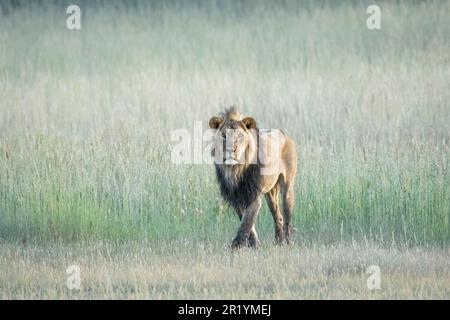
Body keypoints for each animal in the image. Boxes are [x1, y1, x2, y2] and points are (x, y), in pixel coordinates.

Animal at [209, 106, 298, 249]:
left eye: (239, 136)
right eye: (223, 135)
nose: (231, 150)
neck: (235, 170)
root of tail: (283, 133)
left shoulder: (253, 195)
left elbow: (246, 222)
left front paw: (236, 246)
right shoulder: (236, 198)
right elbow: (247, 223)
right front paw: (254, 244)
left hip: (287, 189)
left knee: (287, 218)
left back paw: (288, 242)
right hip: (271, 193)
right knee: (278, 216)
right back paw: (278, 242)